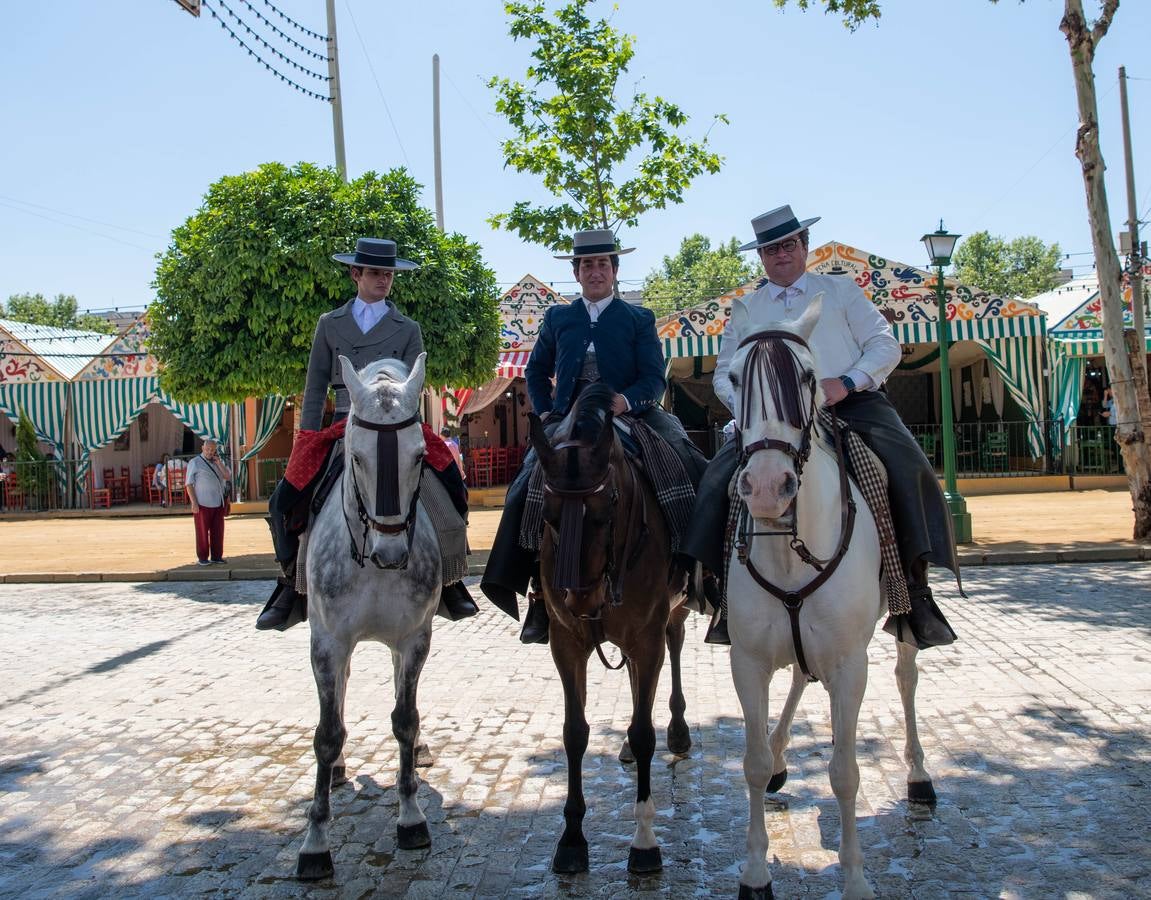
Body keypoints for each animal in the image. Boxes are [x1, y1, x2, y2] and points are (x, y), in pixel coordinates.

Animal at [294, 352, 441, 879]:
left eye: (419, 456)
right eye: (356, 457)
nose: (391, 551)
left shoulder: (416, 637)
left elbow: (405, 719)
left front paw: (411, 816)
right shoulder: (328, 642)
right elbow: (326, 733)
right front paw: (315, 842)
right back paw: (337, 771)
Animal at [527, 384, 685, 879]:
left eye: (609, 505)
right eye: (548, 513)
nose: (579, 601)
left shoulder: (649, 637)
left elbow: (644, 731)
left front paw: (645, 841)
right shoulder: (566, 644)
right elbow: (574, 733)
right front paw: (572, 839)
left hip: (673, 616)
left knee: (674, 650)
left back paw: (678, 729)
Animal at [722, 299, 883, 897]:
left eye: (810, 377)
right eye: (734, 377)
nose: (769, 488)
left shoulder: (851, 664)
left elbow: (845, 772)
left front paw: (855, 877)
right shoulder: (746, 660)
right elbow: (749, 762)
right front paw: (755, 870)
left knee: (907, 678)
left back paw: (920, 777)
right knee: (797, 674)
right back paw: (780, 756)